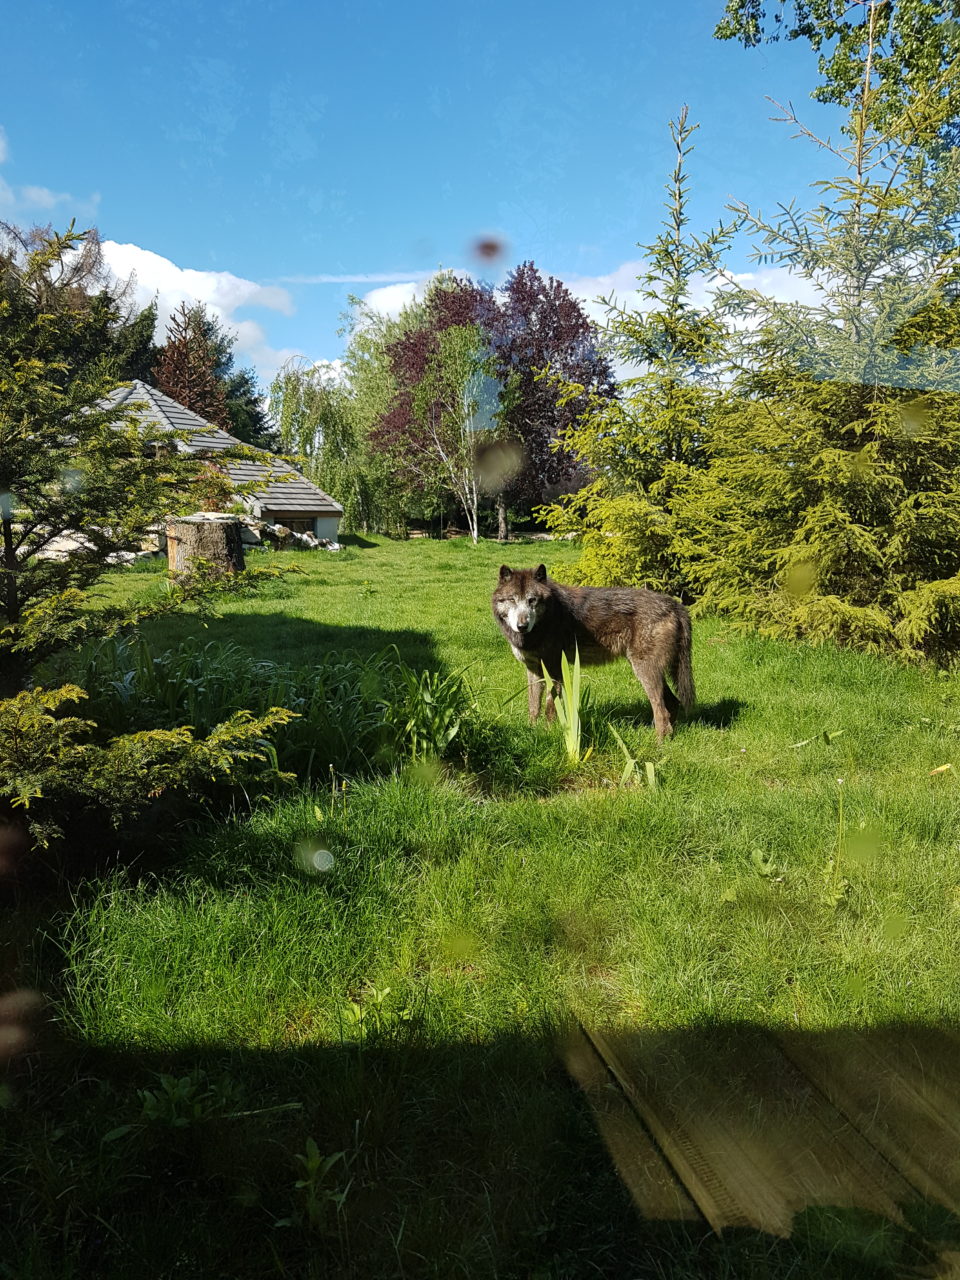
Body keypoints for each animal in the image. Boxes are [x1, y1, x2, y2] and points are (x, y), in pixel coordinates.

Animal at [491, 568, 696, 747]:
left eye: (532, 600)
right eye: (512, 599)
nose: (522, 626)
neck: (548, 616)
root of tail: (676, 605)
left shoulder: (555, 670)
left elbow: (551, 708)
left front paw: (549, 735)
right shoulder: (533, 669)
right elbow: (533, 707)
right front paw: (533, 732)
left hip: (644, 671)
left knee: (661, 711)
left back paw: (657, 747)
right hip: (651, 672)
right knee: (672, 704)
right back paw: (669, 739)